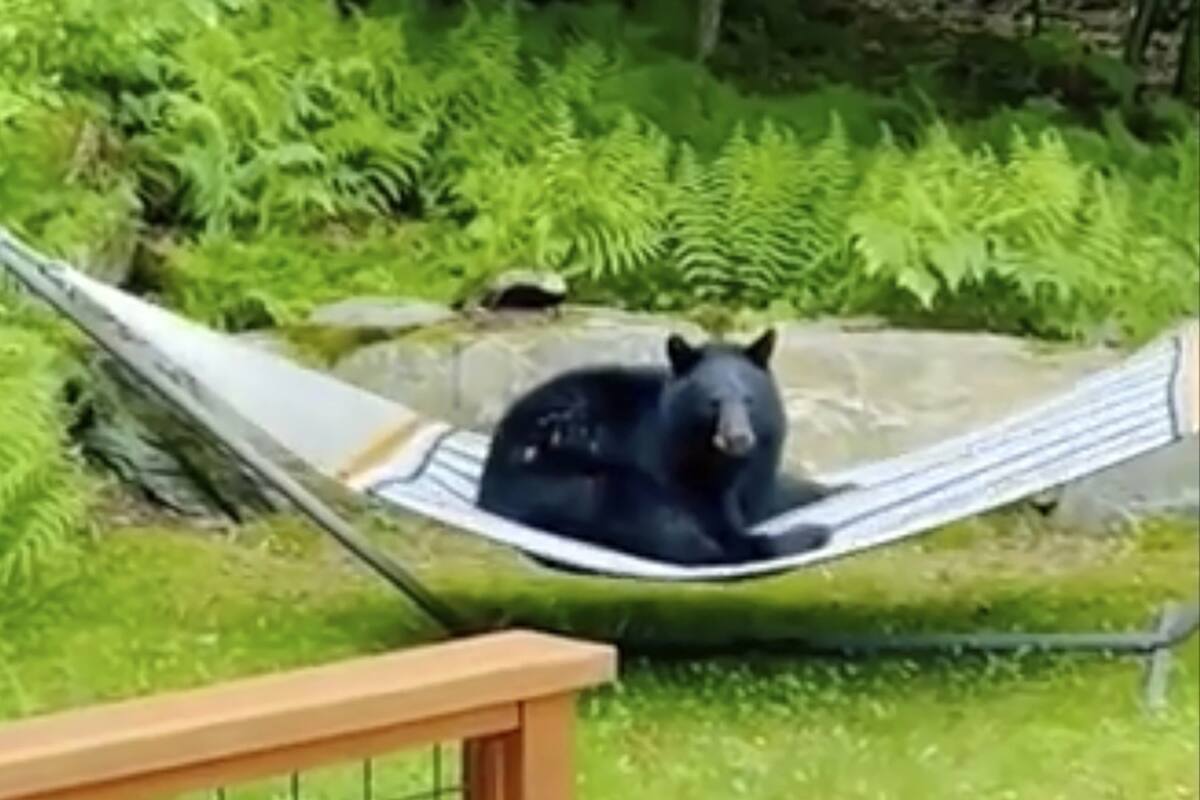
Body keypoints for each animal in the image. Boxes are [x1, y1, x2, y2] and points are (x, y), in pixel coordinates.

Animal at [475, 329, 849, 567]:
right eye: (713, 403)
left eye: (749, 400)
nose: (739, 438)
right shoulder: (672, 462)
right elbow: (715, 520)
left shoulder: (758, 466)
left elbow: (771, 494)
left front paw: (839, 488)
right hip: (575, 479)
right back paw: (810, 534)